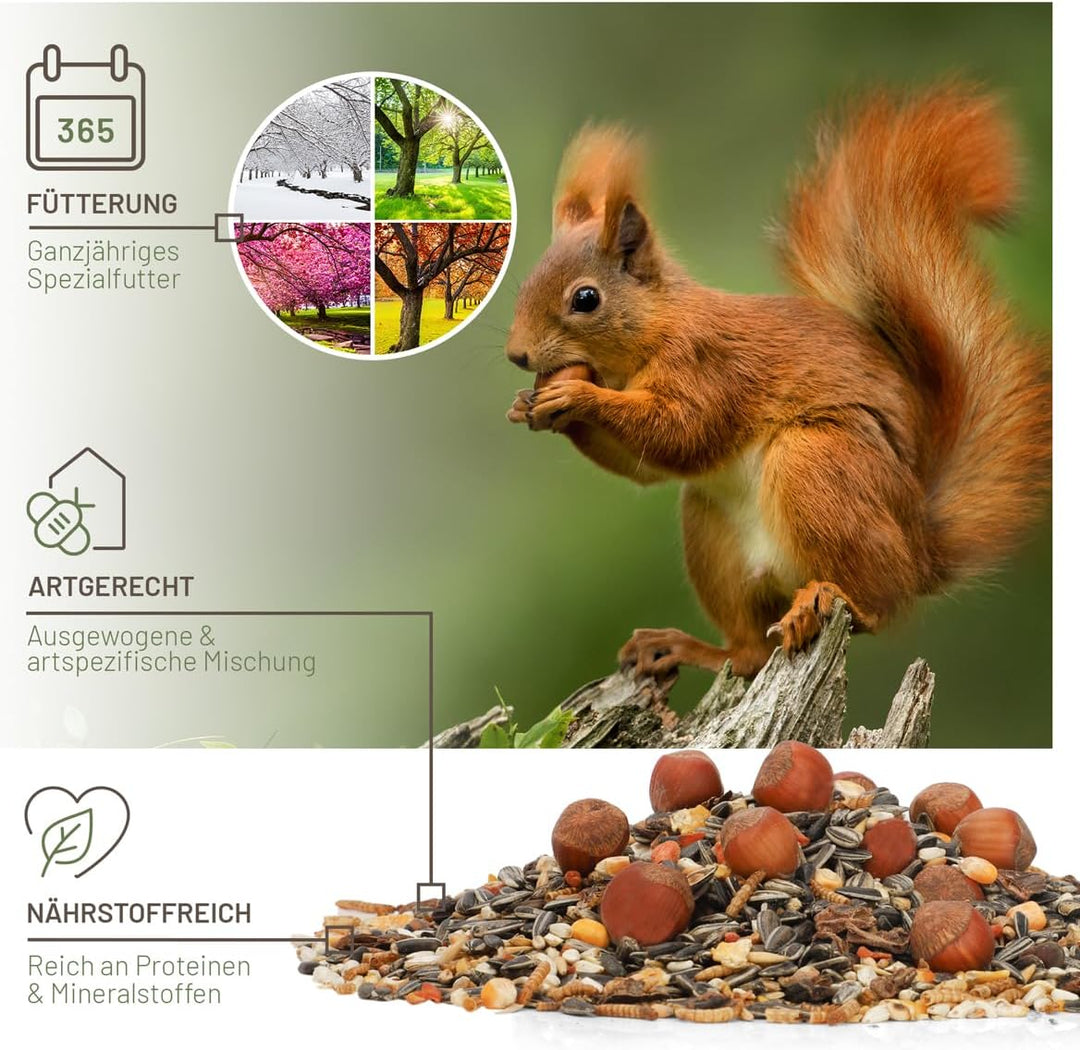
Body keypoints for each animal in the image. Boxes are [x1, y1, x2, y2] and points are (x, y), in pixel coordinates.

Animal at [505, 85, 1050, 678]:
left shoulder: (709, 366)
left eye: (586, 299)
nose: (517, 355)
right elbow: (646, 467)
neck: (655, 330)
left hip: (819, 463)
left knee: (879, 604)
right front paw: (530, 407)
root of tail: (921, 551)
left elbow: (683, 431)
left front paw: (576, 395)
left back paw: (833, 600)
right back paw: (685, 646)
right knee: (747, 651)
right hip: (714, 536)